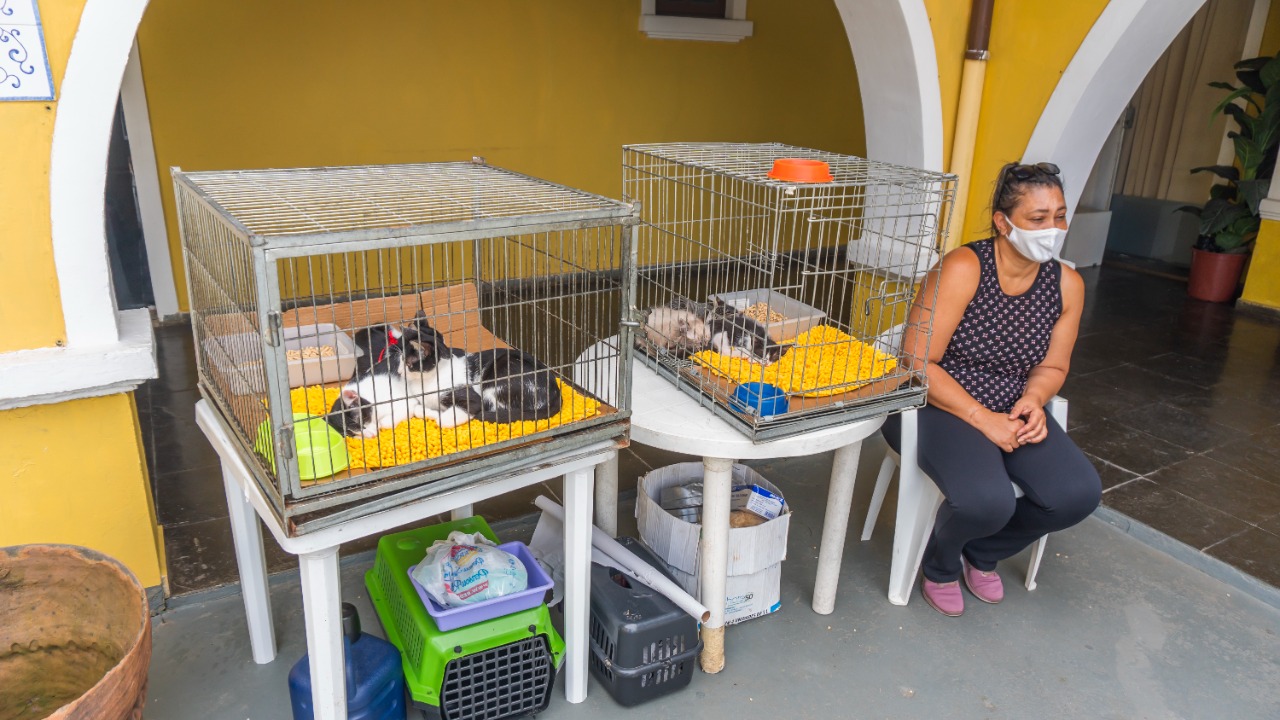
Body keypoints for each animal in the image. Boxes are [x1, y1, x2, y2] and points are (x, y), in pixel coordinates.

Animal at [399, 312, 560, 425]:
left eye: (406, 362)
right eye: (401, 358)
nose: (399, 371)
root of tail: (556, 393)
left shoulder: (471, 399)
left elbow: (443, 419)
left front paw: (436, 414)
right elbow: (419, 408)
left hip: (497, 380)